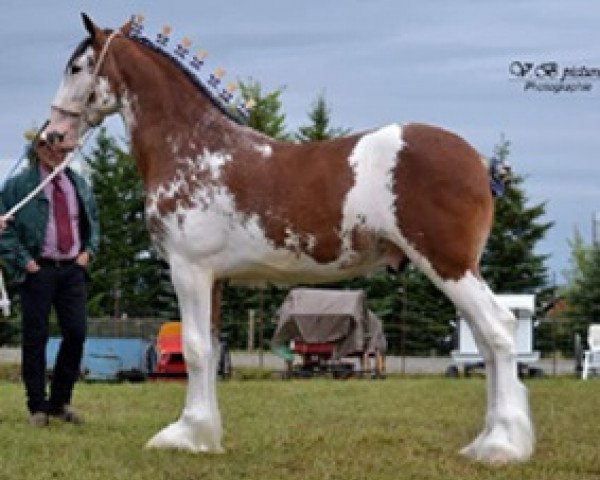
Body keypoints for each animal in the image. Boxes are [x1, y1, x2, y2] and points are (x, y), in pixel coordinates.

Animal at [38, 15, 536, 464]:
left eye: (77, 67)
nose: (52, 135)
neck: (194, 149)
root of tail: (478, 161)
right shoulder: (214, 279)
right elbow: (211, 349)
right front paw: (205, 435)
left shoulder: (189, 270)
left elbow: (195, 349)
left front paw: (184, 435)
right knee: (486, 341)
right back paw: (486, 441)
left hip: (449, 265)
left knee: (498, 330)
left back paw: (501, 446)